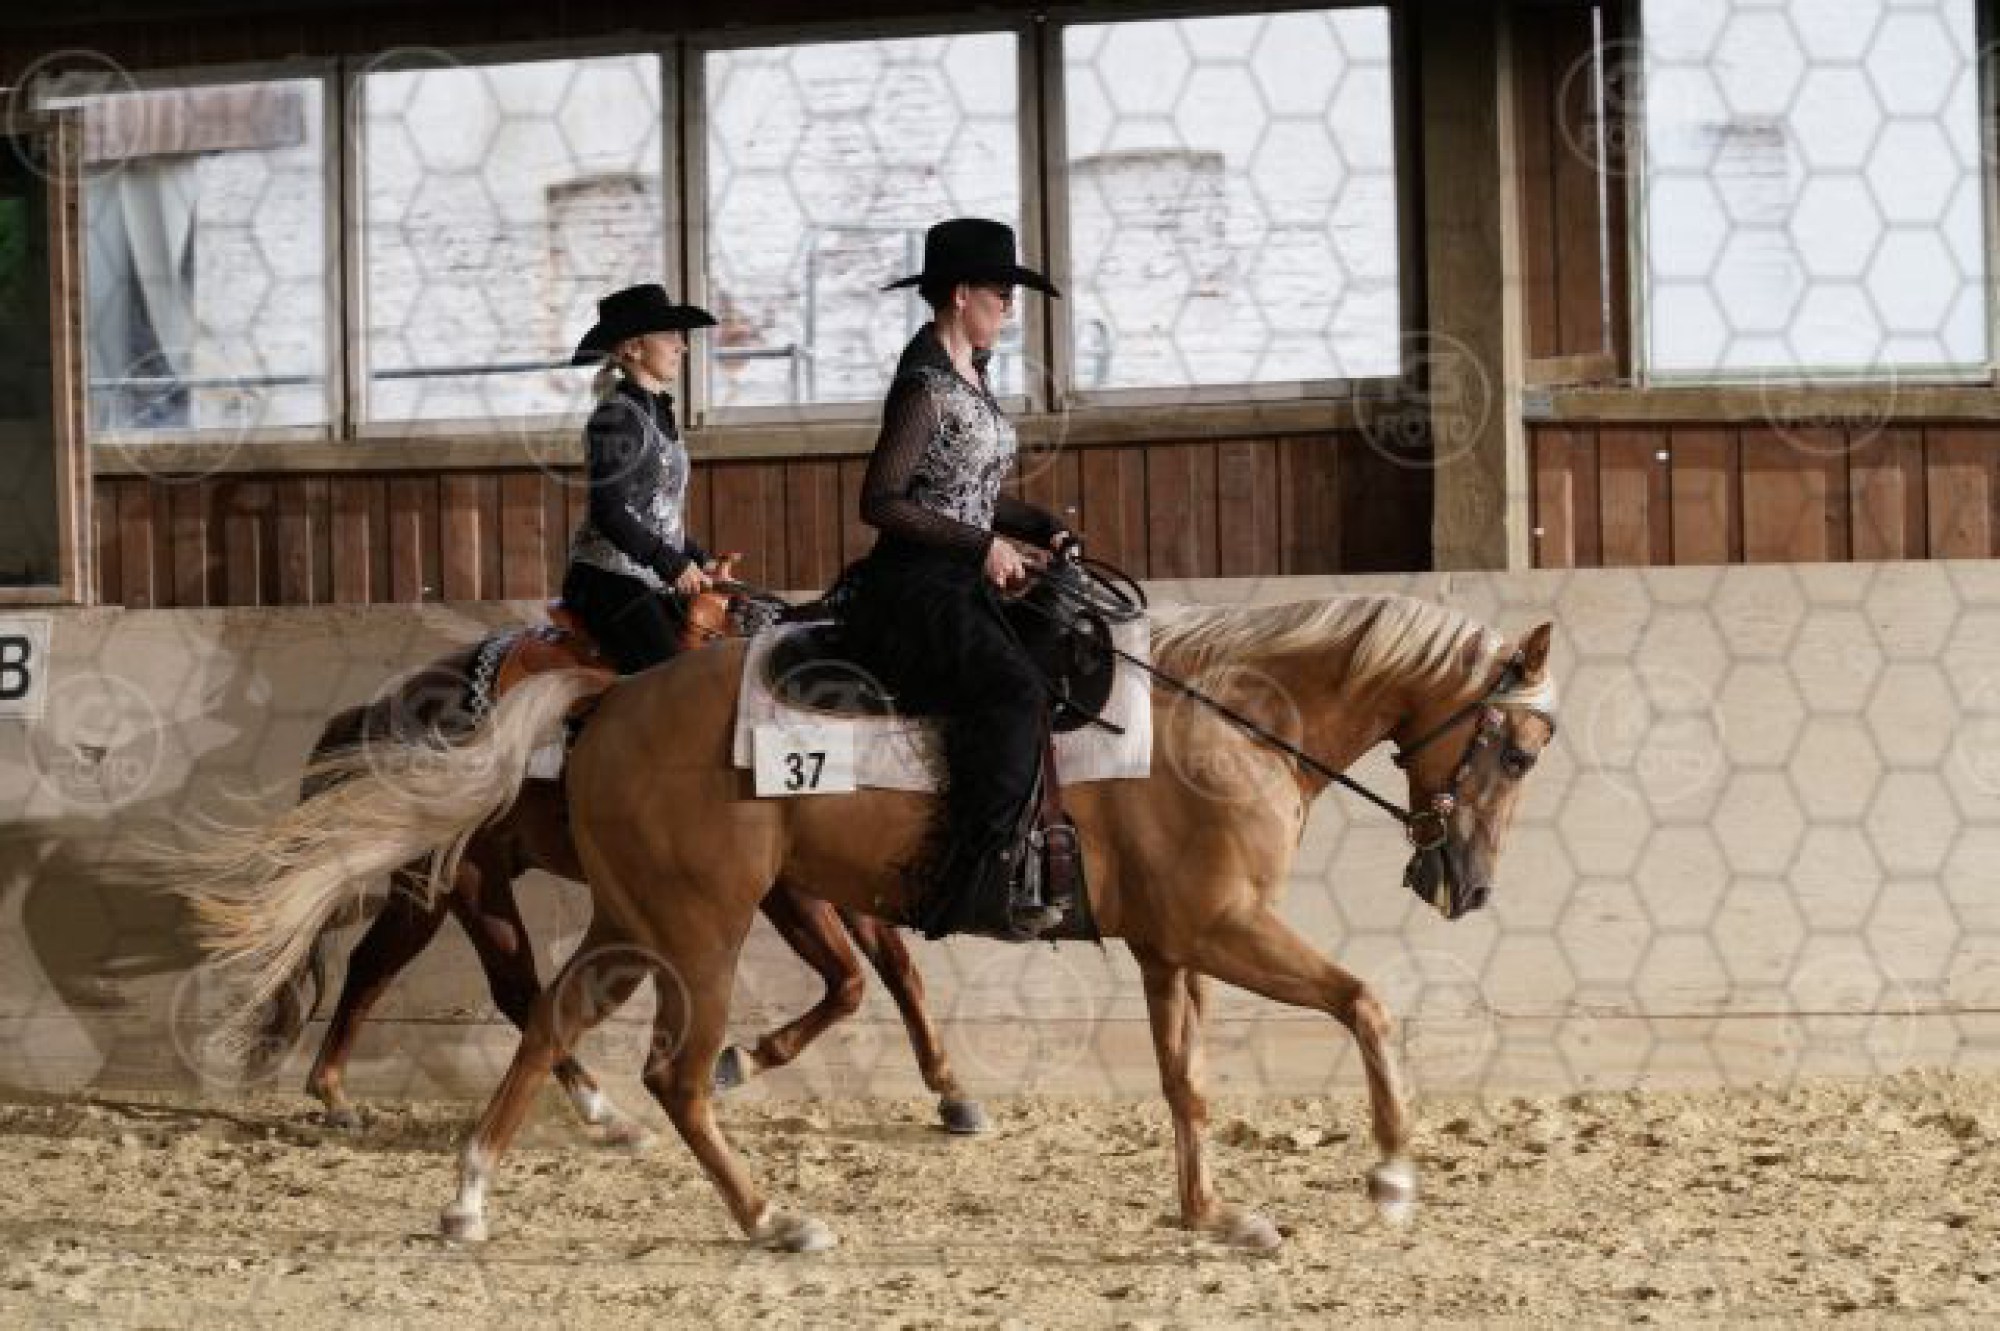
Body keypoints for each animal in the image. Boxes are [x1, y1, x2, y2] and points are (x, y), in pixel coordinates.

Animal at [258, 635, 988, 1138]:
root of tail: (381, 709)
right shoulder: (793, 891)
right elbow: (851, 979)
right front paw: (740, 1060)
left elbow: (892, 970)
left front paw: (952, 1091)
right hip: (463, 876)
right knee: (511, 984)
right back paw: (602, 1110)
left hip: (436, 883)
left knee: (378, 966)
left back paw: (335, 1093)